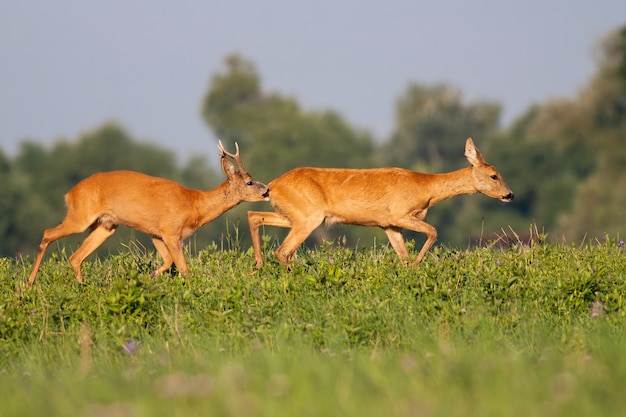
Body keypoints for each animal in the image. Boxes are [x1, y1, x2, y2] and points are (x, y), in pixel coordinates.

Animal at [26, 141, 266, 284]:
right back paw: (29, 282)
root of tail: (69, 194)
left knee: (75, 257)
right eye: (249, 181)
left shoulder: (156, 234)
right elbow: (183, 267)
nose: (266, 190)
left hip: (106, 225)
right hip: (80, 217)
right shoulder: (170, 230)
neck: (194, 205)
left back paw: (81, 286)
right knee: (48, 233)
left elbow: (168, 262)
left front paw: (149, 277)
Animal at [247, 136, 512, 268]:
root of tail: (273, 186)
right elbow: (434, 231)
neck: (426, 188)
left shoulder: (389, 225)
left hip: (292, 214)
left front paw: (409, 268)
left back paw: (258, 265)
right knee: (282, 251)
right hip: (308, 217)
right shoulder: (399, 214)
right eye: (494, 175)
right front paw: (417, 264)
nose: (509, 195)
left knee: (254, 217)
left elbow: (402, 255)